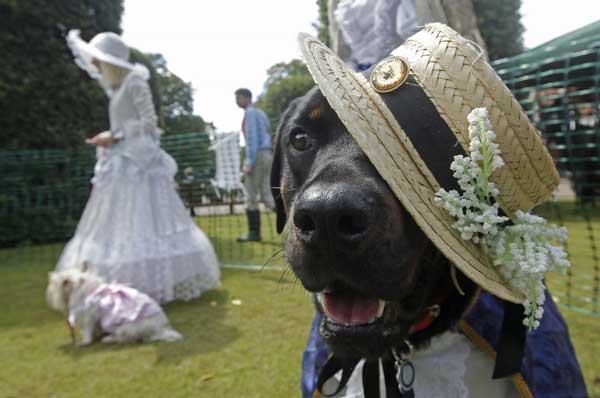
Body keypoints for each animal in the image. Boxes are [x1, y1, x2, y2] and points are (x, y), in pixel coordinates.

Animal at [46, 268, 182, 346]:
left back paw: (109, 339)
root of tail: (160, 328)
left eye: (57, 284)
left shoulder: (88, 317)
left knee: (126, 338)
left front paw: (84, 342)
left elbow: (87, 332)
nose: (49, 292)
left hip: (124, 328)